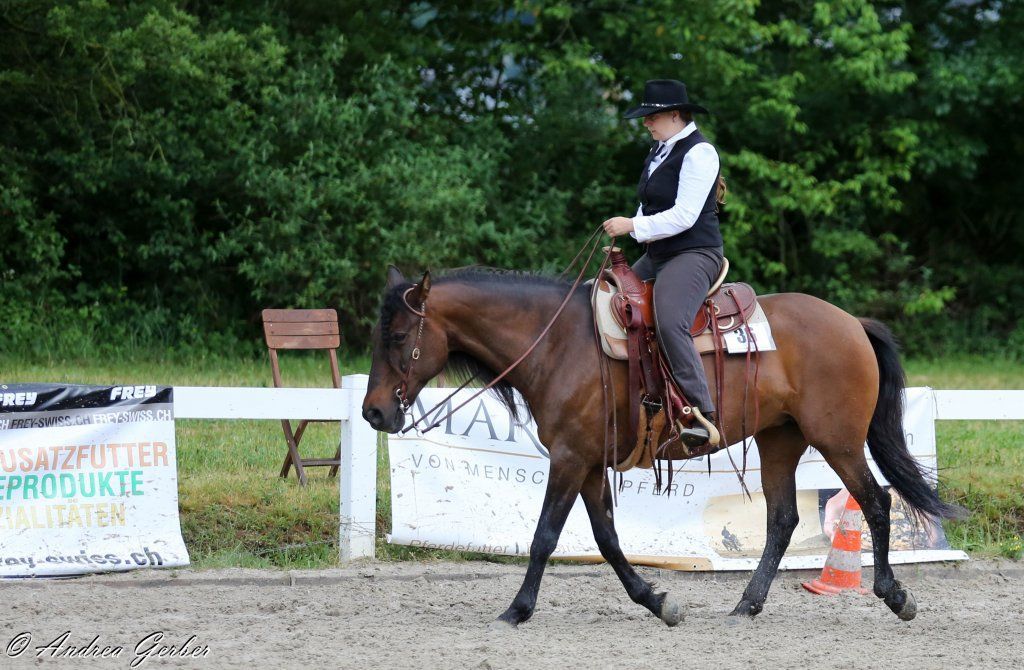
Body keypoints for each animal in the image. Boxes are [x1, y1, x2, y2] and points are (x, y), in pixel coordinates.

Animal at [361, 263, 964, 627]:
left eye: (398, 337)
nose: (373, 412)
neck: (558, 344)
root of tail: (852, 323)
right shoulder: (588, 463)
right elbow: (606, 540)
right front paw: (656, 601)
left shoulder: (569, 459)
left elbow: (545, 537)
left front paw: (517, 609)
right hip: (779, 440)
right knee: (783, 519)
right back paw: (746, 604)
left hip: (836, 440)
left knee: (876, 502)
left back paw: (894, 596)